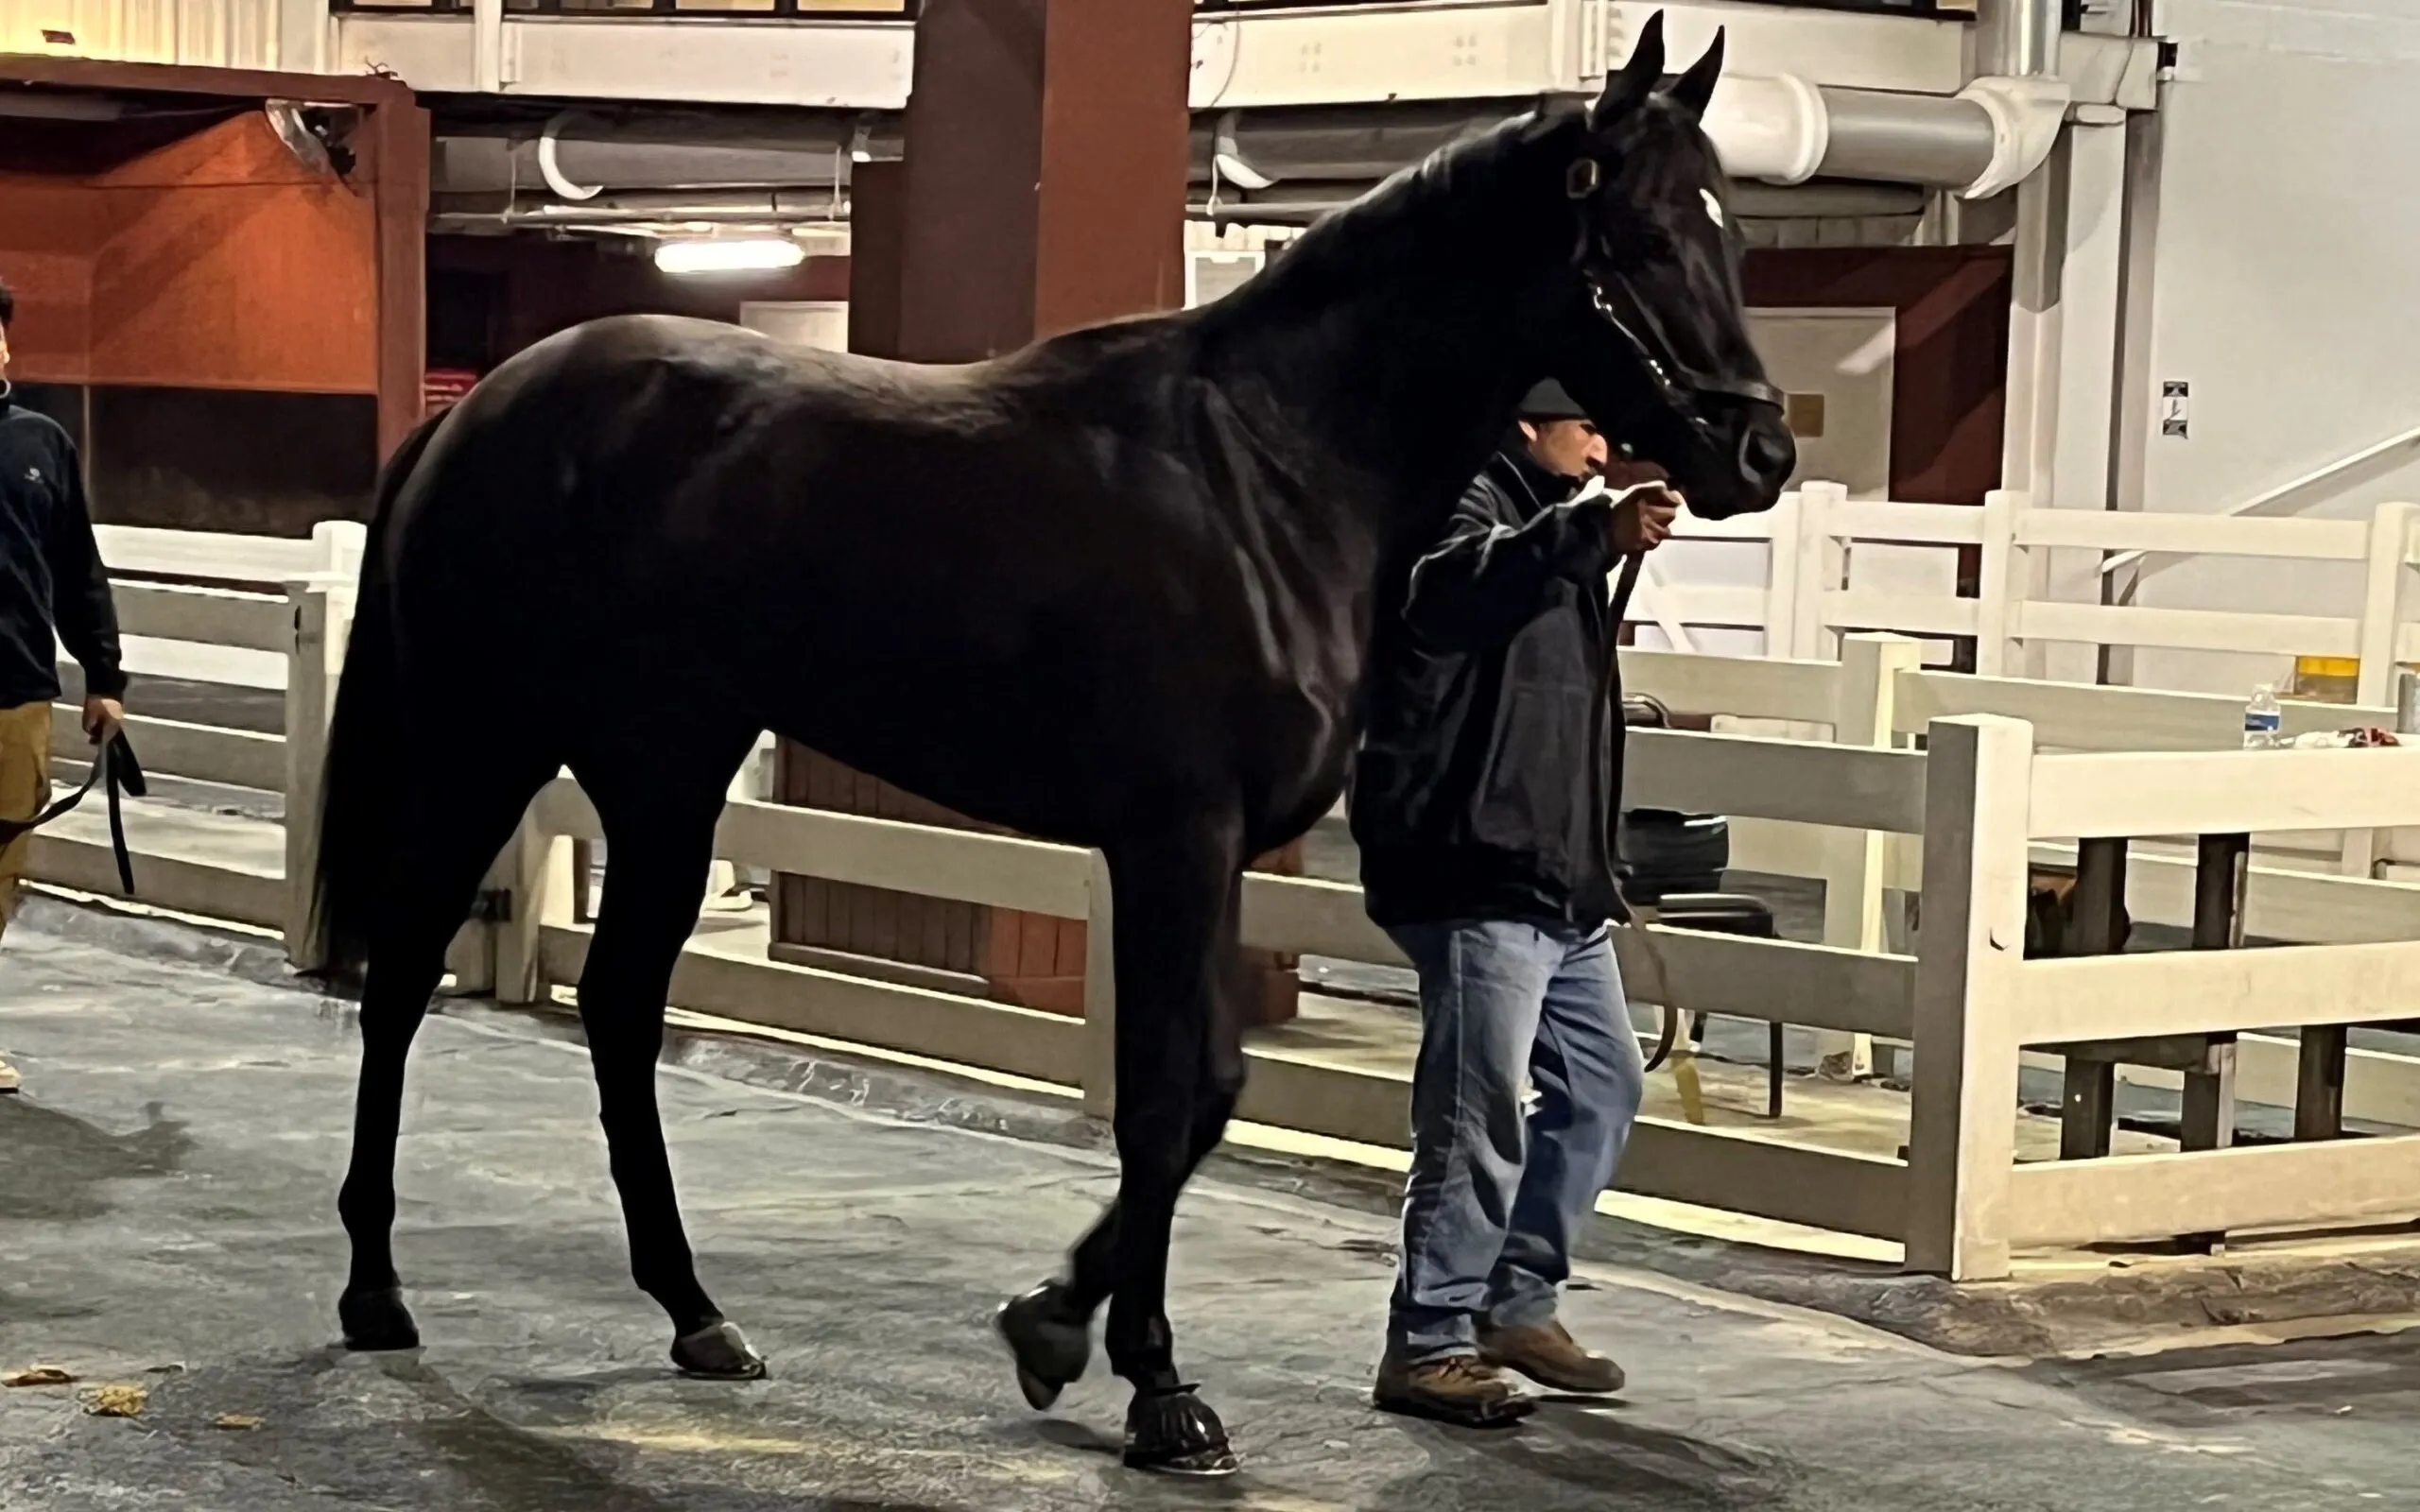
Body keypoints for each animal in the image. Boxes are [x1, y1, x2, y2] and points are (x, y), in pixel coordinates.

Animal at [317, 11, 1800, 1470]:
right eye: (1642, 235)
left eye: (1732, 230)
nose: (1759, 452)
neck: (1269, 474)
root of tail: (476, 409)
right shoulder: (1173, 837)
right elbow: (1169, 1094)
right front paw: (1138, 1379)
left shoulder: (1209, 851)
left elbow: (1205, 1090)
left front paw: (1070, 1332)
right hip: (487, 744)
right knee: (404, 978)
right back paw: (375, 1293)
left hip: (665, 773)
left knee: (620, 1009)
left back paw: (696, 1314)